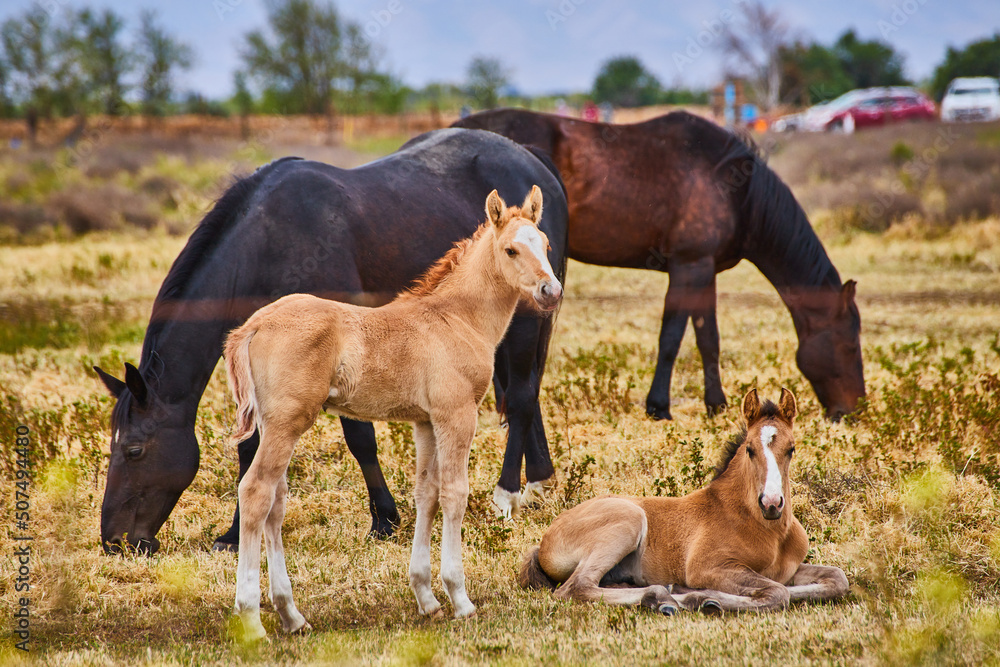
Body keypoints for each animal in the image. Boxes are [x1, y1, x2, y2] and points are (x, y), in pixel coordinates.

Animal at [94, 128, 568, 555]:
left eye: (134, 450)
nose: (115, 541)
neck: (270, 238)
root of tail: (532, 157)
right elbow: (251, 447)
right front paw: (232, 535)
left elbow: (360, 438)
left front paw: (384, 520)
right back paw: (538, 484)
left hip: (526, 322)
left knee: (521, 399)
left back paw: (508, 496)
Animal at [226, 188, 561, 638]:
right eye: (511, 249)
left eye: (545, 245)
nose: (550, 290)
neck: (456, 318)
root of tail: (255, 324)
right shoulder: (457, 415)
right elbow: (455, 493)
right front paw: (460, 598)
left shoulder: (425, 422)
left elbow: (427, 494)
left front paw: (426, 598)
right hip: (287, 423)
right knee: (256, 492)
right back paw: (251, 619)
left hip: (274, 425)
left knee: (275, 503)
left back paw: (292, 615)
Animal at [453, 109, 865, 422]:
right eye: (849, 344)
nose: (854, 409)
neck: (734, 188)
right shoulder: (688, 267)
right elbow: (671, 338)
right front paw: (658, 406)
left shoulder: (704, 271)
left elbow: (708, 339)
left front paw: (716, 405)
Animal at [518, 388, 849, 614]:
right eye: (750, 449)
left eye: (791, 448)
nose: (771, 504)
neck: (769, 531)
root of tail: (544, 540)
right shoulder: (707, 567)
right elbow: (778, 592)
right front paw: (701, 598)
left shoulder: (789, 569)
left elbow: (835, 579)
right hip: (628, 519)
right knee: (577, 587)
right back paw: (660, 597)